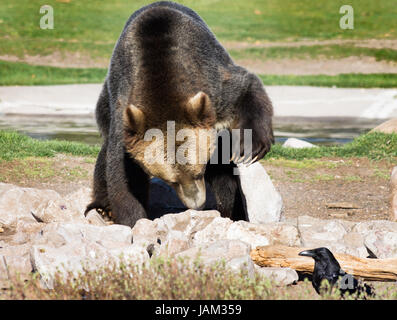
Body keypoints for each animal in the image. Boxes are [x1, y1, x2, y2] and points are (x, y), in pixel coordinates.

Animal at [85, 1, 274, 228]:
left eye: (199, 172)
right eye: (172, 181)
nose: (196, 204)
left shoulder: (215, 87)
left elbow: (247, 88)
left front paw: (250, 146)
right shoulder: (124, 116)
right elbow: (122, 175)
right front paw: (133, 219)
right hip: (105, 105)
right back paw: (102, 208)